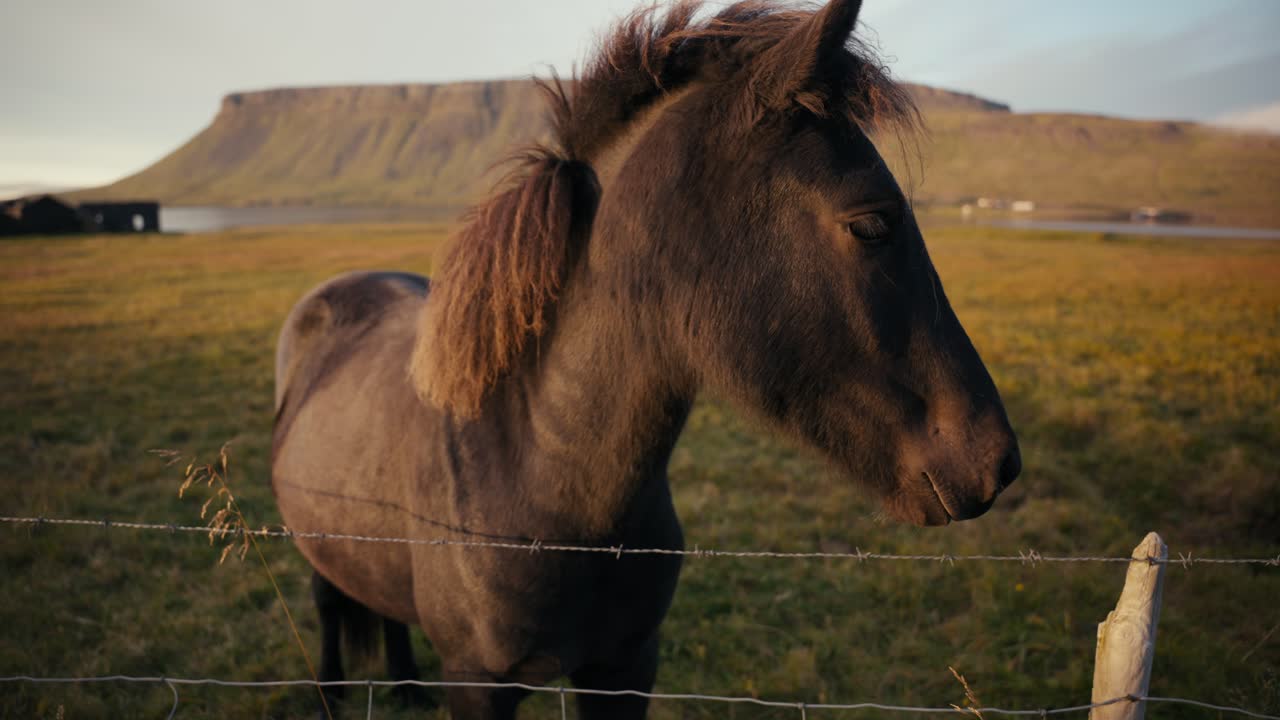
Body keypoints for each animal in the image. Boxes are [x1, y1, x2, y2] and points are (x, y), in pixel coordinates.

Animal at [271, 1, 1021, 717]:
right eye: (871, 223)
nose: (998, 460)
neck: (538, 473)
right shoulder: (479, 684)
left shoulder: (627, 669)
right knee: (329, 603)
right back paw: (331, 693)